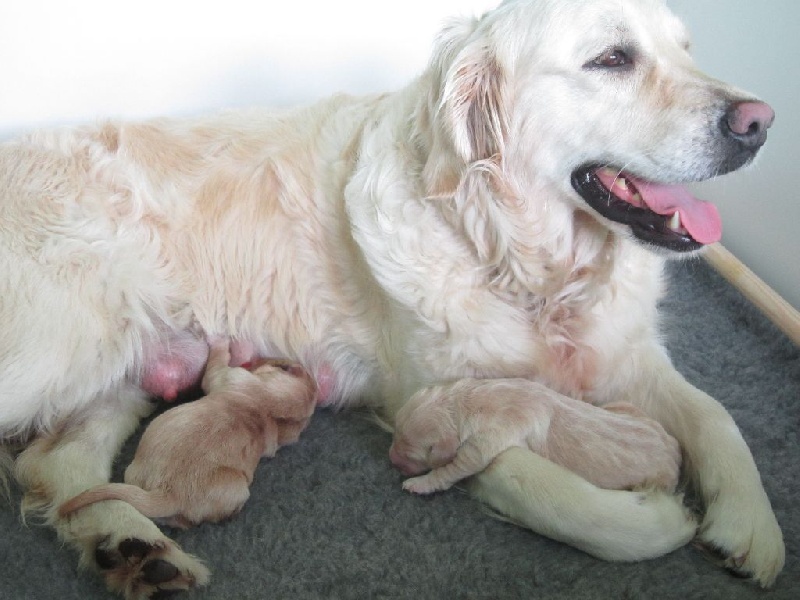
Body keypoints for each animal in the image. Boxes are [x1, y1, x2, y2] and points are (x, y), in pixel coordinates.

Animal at [388, 378, 680, 494]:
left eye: (411, 454)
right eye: (395, 431)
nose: (390, 458)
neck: (466, 403)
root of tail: (675, 452)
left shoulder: (486, 442)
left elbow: (454, 467)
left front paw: (419, 483)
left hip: (657, 483)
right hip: (630, 410)